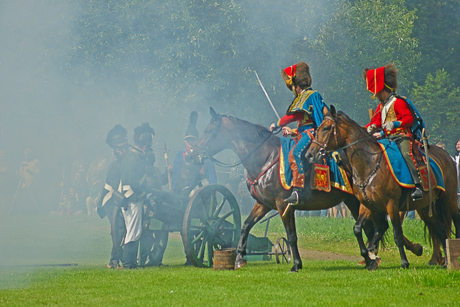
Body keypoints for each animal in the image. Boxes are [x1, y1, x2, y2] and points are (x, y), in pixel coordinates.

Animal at [194, 107, 420, 274]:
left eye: (210, 130)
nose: (196, 153)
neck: (265, 157)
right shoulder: (263, 204)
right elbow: (245, 226)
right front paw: (239, 258)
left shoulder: (283, 205)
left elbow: (291, 235)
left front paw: (295, 264)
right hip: (358, 202)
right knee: (377, 227)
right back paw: (375, 258)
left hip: (361, 202)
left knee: (378, 226)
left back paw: (378, 257)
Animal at [306, 106, 460, 270]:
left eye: (326, 128)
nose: (310, 155)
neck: (370, 163)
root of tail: (446, 156)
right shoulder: (367, 205)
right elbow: (358, 229)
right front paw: (368, 255)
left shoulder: (391, 205)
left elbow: (397, 234)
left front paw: (404, 262)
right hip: (425, 207)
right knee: (440, 231)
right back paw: (445, 261)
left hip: (449, 198)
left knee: (455, 219)